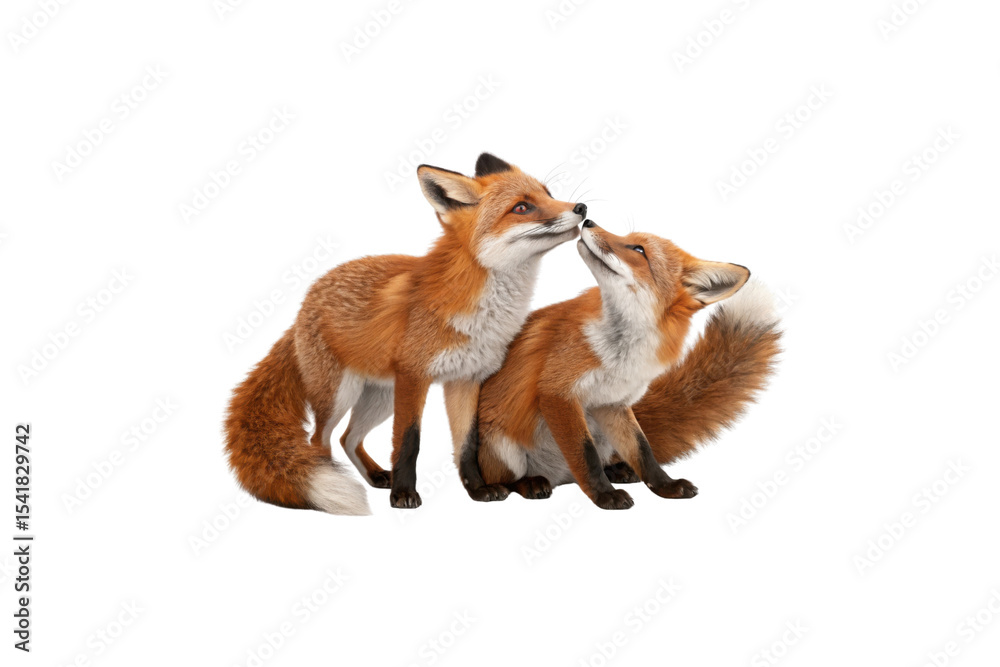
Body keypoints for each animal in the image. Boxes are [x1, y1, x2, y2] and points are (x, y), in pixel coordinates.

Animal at [225, 153, 588, 514]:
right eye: (522, 207)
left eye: (548, 193)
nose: (581, 207)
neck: (482, 312)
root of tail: (305, 301)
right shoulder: (414, 376)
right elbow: (408, 441)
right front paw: (403, 495)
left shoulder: (466, 380)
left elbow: (467, 444)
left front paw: (478, 490)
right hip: (341, 394)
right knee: (320, 440)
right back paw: (333, 479)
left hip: (381, 397)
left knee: (348, 437)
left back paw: (374, 476)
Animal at [459, 220, 780, 509]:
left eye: (638, 249)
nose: (588, 220)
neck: (621, 354)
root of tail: (558, 476)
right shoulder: (557, 393)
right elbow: (585, 455)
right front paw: (604, 495)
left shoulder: (612, 403)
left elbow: (643, 451)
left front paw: (665, 486)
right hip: (503, 448)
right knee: (510, 479)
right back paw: (530, 483)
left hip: (601, 433)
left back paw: (617, 470)